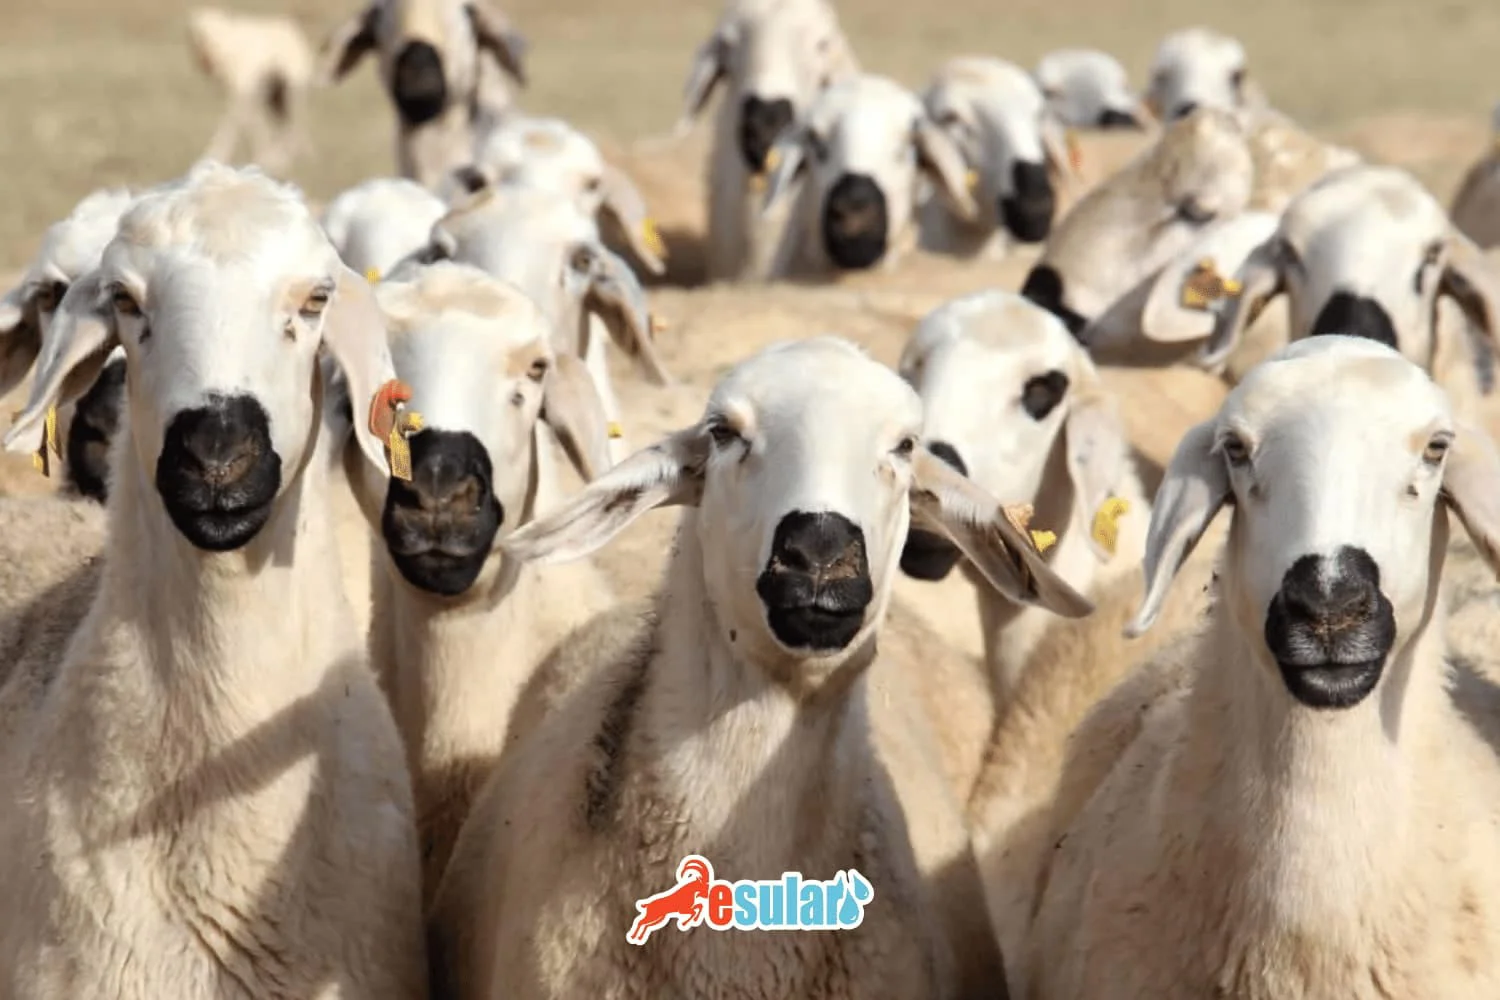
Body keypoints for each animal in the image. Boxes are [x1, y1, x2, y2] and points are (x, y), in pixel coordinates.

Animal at [187, 7, 314, 175]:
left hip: (290, 89)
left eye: (205, 34)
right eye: (195, 33)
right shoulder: (246, 90)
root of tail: (290, 26)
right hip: (274, 93)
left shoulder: (243, 89)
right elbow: (250, 121)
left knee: (293, 120)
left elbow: (234, 122)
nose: (204, 59)